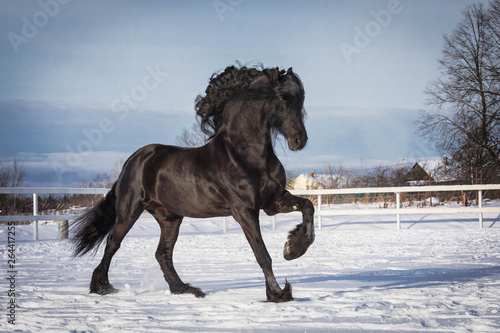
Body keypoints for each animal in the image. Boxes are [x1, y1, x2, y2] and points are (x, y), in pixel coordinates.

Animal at [72, 64, 314, 300]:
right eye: (283, 99)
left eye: (301, 99)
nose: (299, 140)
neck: (245, 155)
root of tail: (133, 161)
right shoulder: (245, 211)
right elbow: (262, 254)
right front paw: (278, 293)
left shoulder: (273, 201)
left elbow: (307, 206)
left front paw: (293, 248)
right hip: (129, 211)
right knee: (113, 243)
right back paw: (102, 287)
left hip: (170, 217)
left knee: (162, 253)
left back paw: (184, 289)